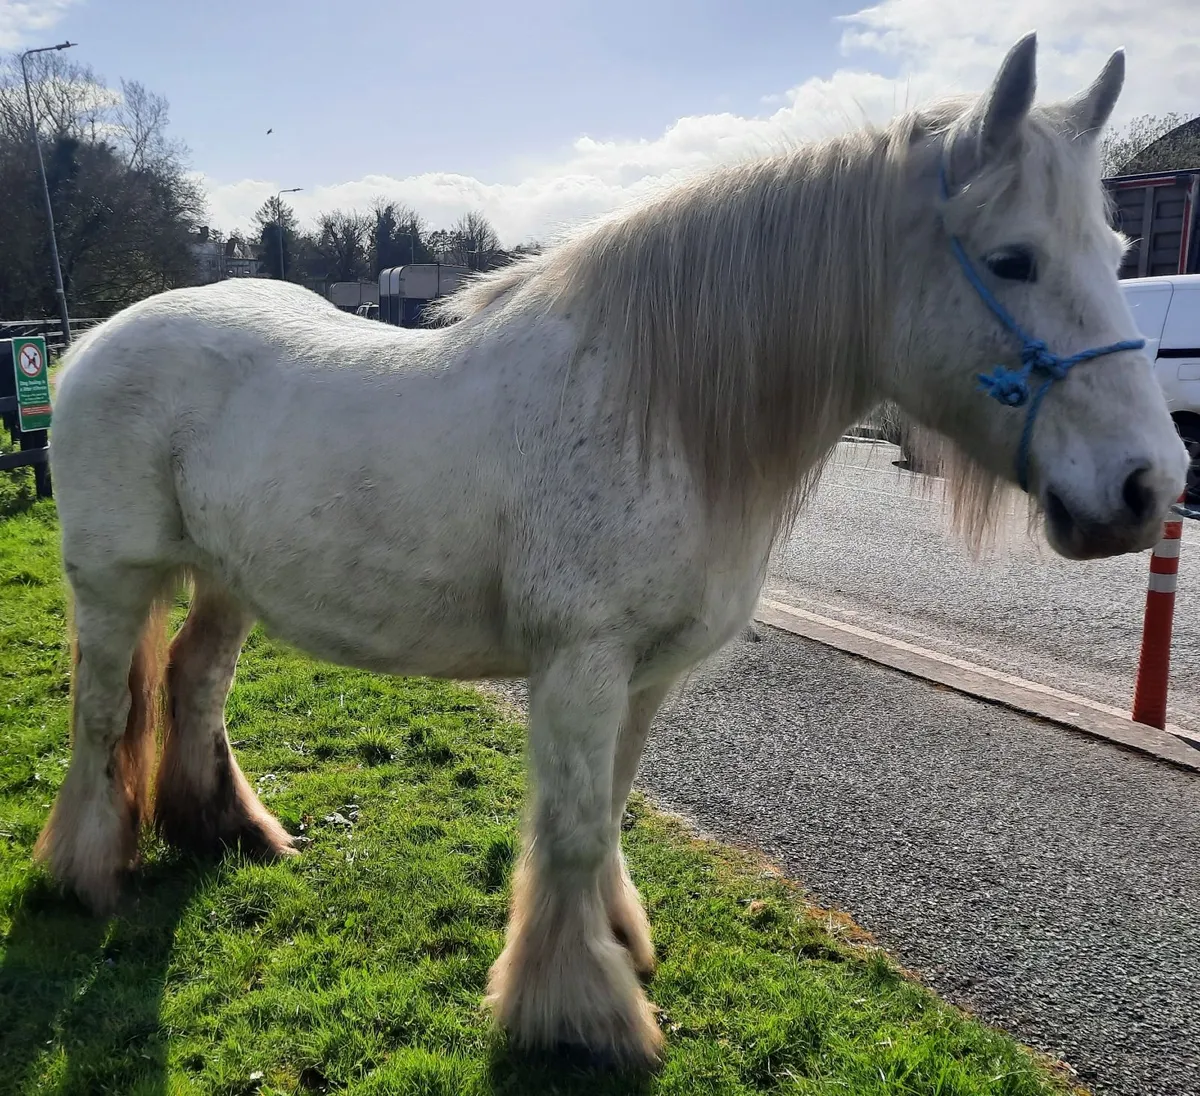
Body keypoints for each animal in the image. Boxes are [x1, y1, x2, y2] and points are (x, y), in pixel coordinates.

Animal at [33, 32, 1187, 1069]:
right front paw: (581, 1012)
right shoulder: (580, 666)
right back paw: (88, 877)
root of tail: (89, 343)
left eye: (1120, 256)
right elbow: (577, 829)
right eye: (1011, 260)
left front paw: (614, 946)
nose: (1149, 487)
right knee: (104, 712)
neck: (655, 410)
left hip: (227, 581)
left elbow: (611, 816)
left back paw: (225, 831)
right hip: (113, 580)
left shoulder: (646, 675)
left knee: (194, 682)